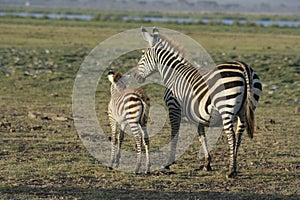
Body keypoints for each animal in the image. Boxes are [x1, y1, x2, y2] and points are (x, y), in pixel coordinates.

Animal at [135, 27, 262, 178]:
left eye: (143, 55)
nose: (136, 76)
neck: (174, 73)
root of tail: (243, 67)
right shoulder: (198, 115)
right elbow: (202, 137)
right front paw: (207, 163)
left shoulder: (173, 108)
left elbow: (174, 135)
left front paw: (168, 163)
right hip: (244, 110)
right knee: (239, 134)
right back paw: (234, 166)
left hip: (226, 107)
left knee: (231, 135)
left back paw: (231, 170)